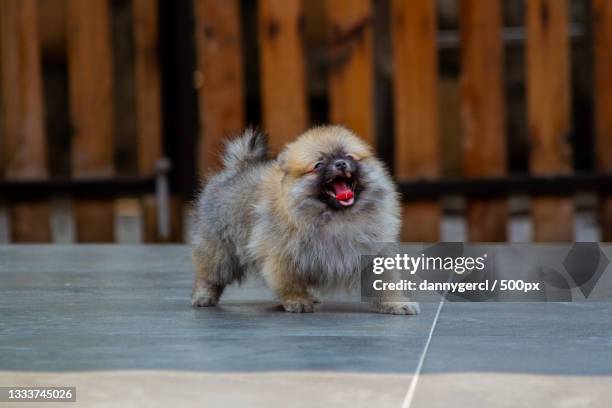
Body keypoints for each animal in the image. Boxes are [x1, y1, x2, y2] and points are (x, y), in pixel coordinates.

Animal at [191, 125, 420, 316]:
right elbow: (288, 283)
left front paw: (396, 304)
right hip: (221, 251)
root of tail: (239, 167)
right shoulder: (283, 256)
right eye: (318, 165)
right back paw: (203, 296)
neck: (336, 217)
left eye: (348, 156)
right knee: (208, 274)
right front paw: (297, 301)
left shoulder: (373, 255)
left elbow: (385, 284)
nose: (340, 163)